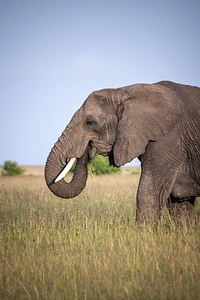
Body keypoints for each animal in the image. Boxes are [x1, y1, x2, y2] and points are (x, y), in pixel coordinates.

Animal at [44, 81, 200, 226]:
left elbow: (150, 195)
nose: (87, 148)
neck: (123, 92)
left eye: (90, 122)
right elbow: (180, 203)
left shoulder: (169, 138)